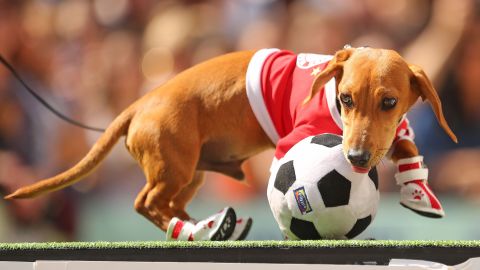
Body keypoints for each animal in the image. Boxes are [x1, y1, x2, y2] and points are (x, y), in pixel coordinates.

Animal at [5, 47, 456, 232]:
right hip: (174, 169)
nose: (358, 158)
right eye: (345, 98)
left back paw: (208, 226)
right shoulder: (293, 145)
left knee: (167, 205)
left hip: (190, 175)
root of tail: (139, 105)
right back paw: (193, 232)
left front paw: (417, 190)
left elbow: (406, 147)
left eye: (390, 102)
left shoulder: (390, 135)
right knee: (146, 203)